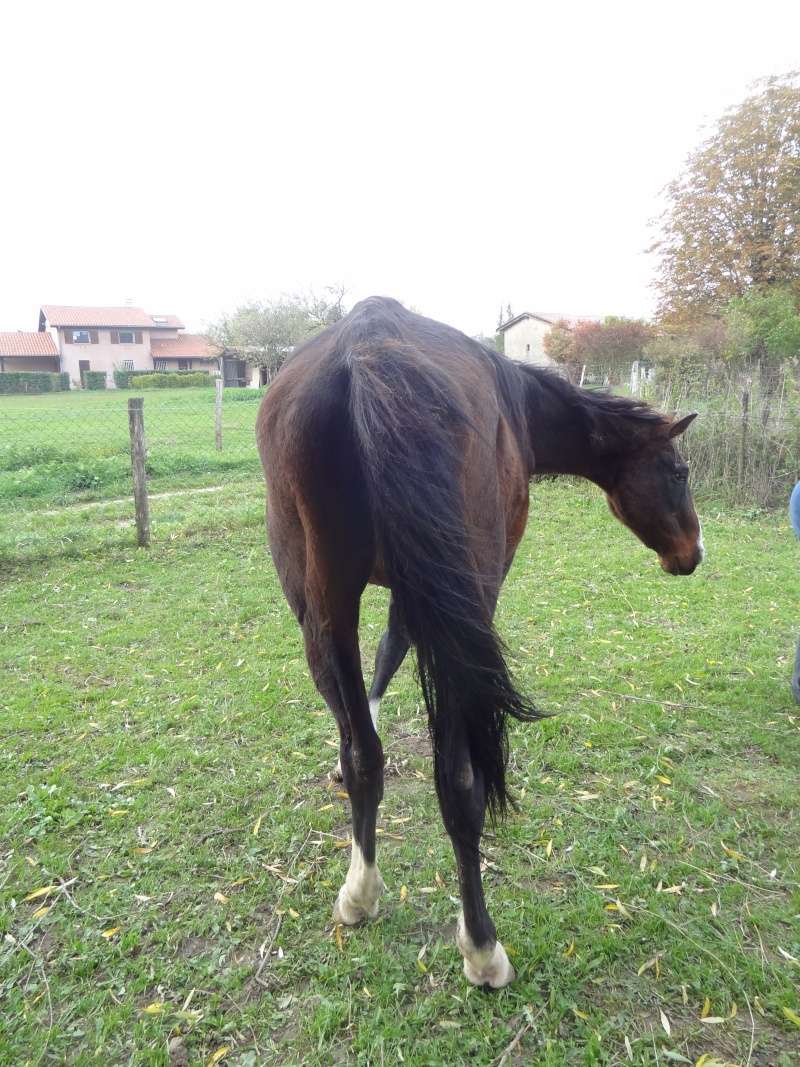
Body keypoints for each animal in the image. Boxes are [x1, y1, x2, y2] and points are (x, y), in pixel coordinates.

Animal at [257, 296, 699, 985]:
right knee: (459, 777)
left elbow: (378, 675)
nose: (692, 555)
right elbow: (396, 655)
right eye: (677, 471)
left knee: (365, 757)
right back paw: (483, 946)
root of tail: (368, 350)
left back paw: (359, 893)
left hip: (319, 605)